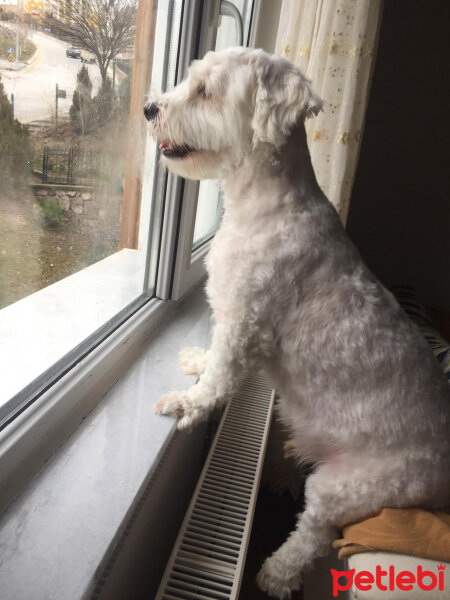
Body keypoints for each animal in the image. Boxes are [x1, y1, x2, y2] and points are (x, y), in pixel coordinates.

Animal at [144, 48, 450, 600]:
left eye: (205, 92)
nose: (149, 108)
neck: (265, 203)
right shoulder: (230, 313)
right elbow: (214, 356)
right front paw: (197, 360)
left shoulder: (247, 319)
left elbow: (222, 376)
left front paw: (189, 403)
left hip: (354, 484)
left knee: (314, 532)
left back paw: (276, 573)